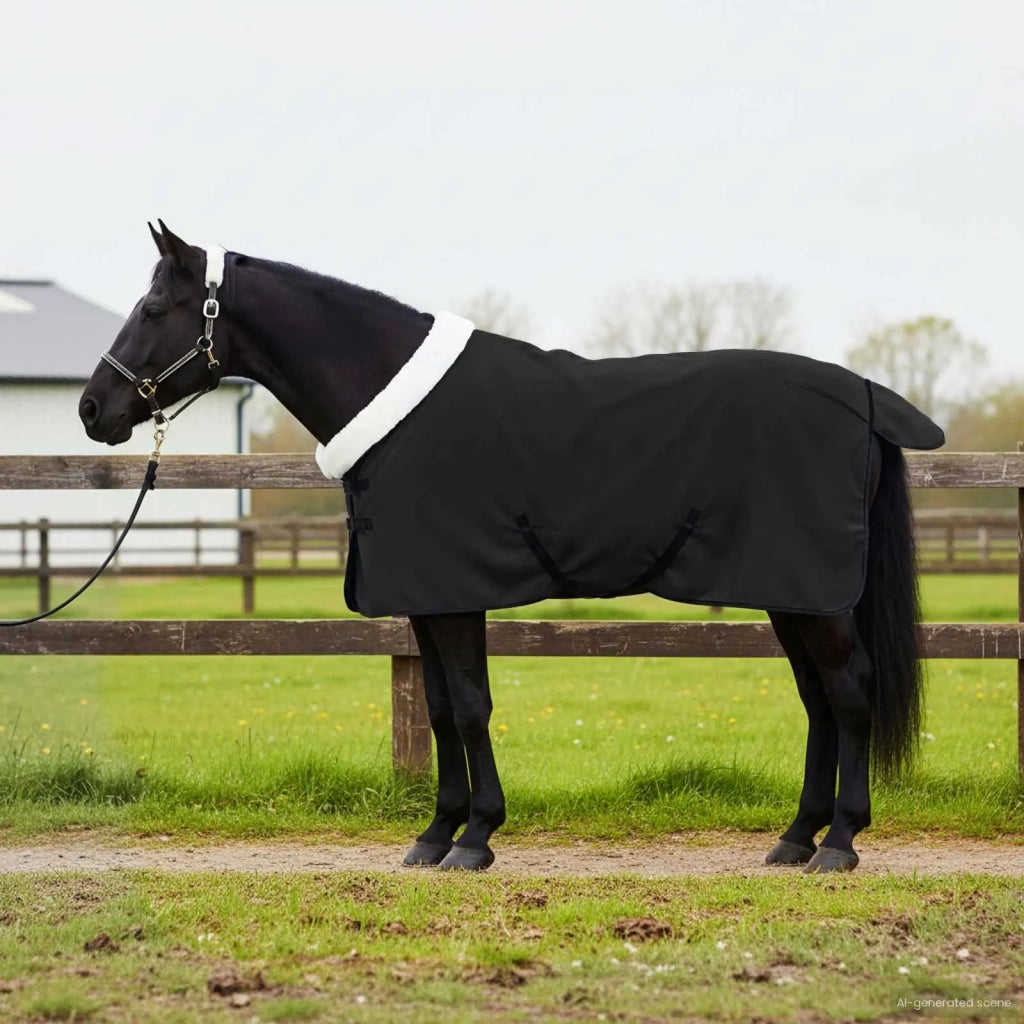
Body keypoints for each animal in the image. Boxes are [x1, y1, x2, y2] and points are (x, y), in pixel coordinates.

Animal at [79, 222, 944, 873]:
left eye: (153, 307)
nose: (93, 408)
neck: (396, 406)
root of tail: (866, 398)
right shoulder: (423, 599)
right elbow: (436, 710)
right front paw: (435, 835)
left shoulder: (455, 594)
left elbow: (468, 707)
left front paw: (476, 838)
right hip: (789, 592)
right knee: (819, 700)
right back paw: (795, 839)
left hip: (816, 595)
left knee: (850, 693)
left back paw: (839, 843)